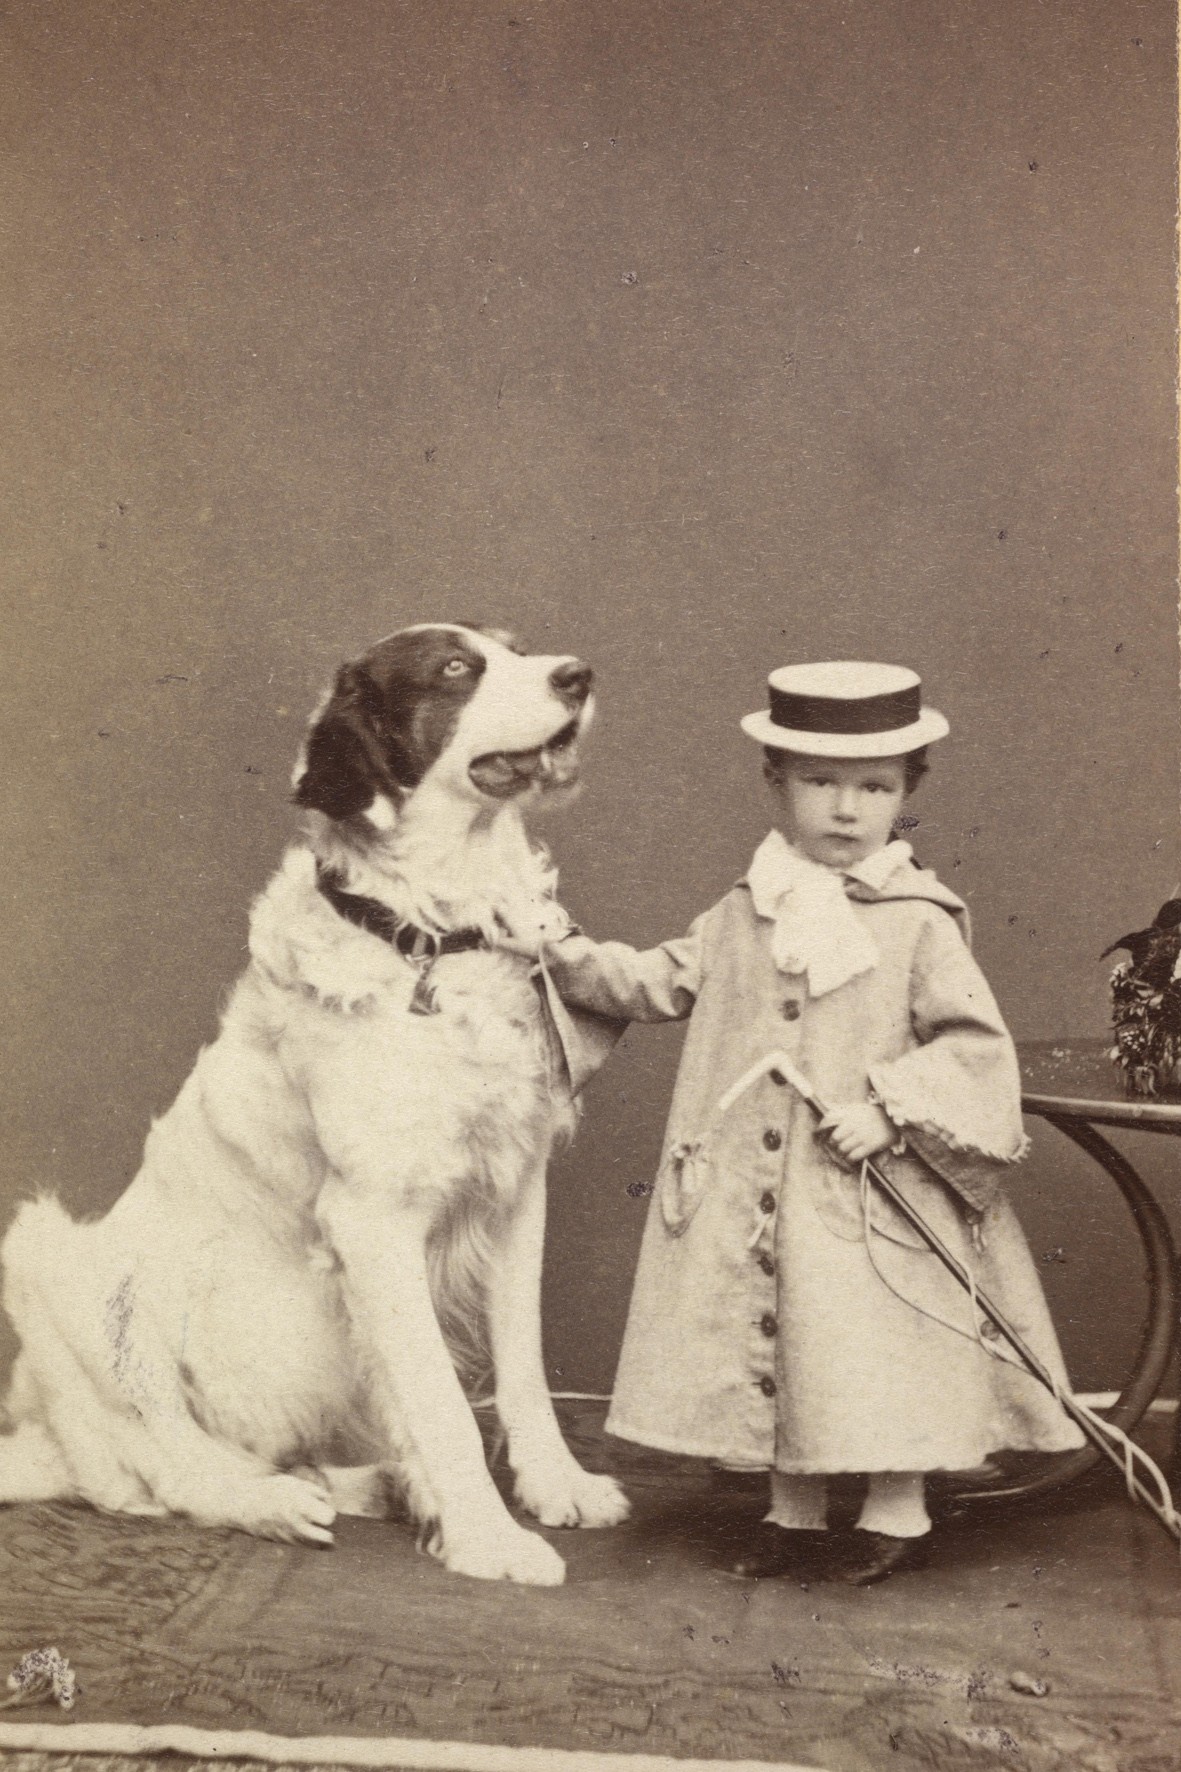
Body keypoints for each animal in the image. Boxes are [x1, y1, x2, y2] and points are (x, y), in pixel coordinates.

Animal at [0, 622, 629, 1585]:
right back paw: (267, 1502)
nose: (578, 675)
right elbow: (442, 1401)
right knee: (153, 1471)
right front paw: (487, 1538)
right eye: (455, 669)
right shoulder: (372, 1217)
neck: (431, 939)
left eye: (511, 647)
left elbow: (520, 1365)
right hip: (55, 1266)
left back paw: (369, 1483)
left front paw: (554, 1485)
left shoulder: (516, 1190)